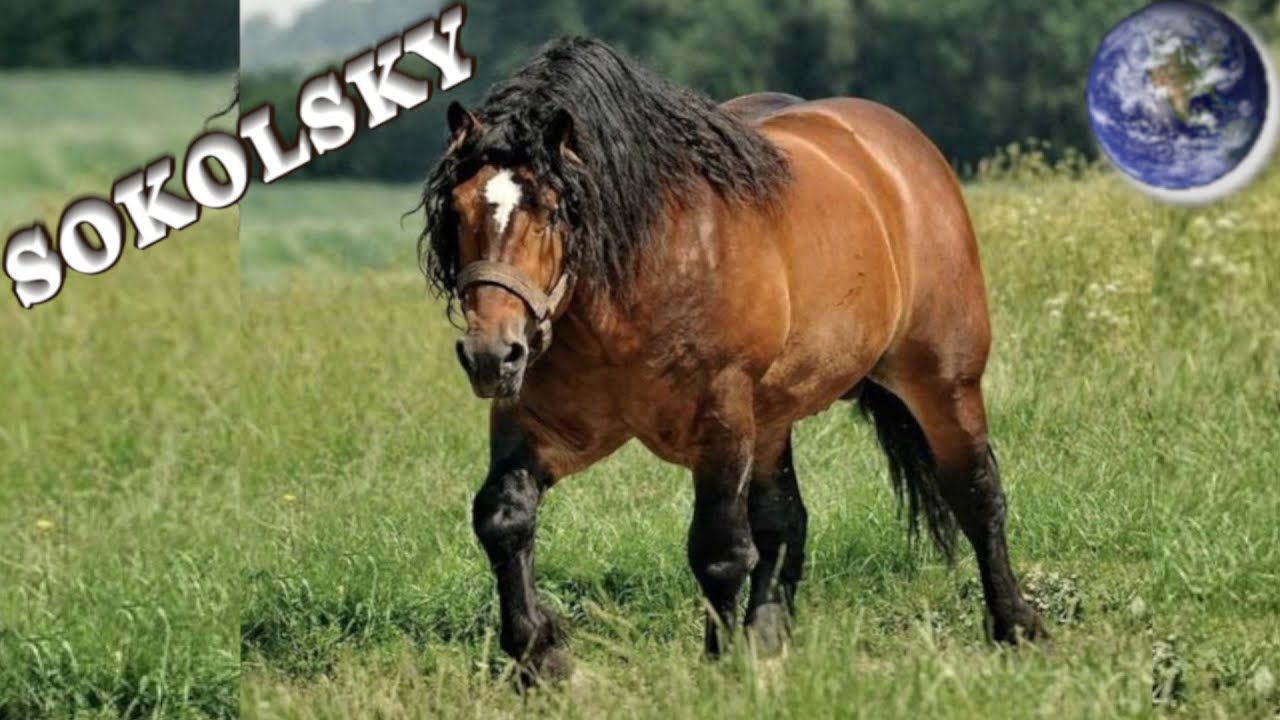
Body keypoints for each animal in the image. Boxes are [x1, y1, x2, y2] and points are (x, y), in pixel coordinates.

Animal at [418, 37, 1045, 681]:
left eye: (550, 208)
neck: (639, 277)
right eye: (458, 210)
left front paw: (719, 668)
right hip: (772, 416)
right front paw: (540, 656)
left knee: (977, 492)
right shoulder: (542, 424)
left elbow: (718, 551)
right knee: (786, 520)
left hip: (944, 379)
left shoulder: (720, 421)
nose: (492, 354)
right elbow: (503, 517)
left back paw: (1016, 625)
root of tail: (900, 151)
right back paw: (768, 637)